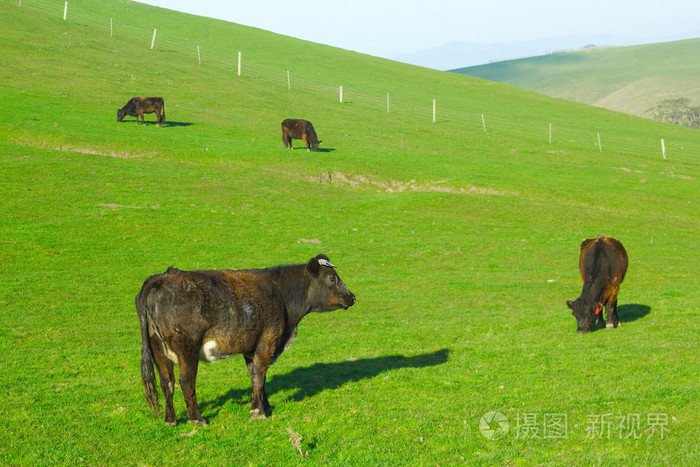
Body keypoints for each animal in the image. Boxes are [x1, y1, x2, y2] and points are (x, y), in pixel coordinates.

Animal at [135, 254, 356, 426]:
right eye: (332, 278)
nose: (352, 297)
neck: (282, 294)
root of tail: (161, 278)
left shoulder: (251, 347)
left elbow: (257, 376)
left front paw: (265, 404)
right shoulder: (267, 342)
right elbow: (259, 374)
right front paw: (258, 411)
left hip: (158, 350)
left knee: (167, 381)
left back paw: (170, 419)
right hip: (187, 349)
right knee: (185, 381)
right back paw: (197, 419)